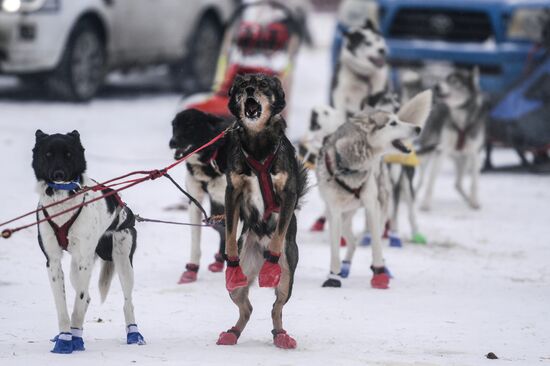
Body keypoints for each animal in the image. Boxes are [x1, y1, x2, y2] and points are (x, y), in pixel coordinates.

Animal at [32, 130, 144, 354]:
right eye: (48, 154)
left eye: (69, 154)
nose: (58, 174)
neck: (62, 205)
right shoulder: (53, 261)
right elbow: (63, 306)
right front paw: (65, 338)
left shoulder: (84, 259)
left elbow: (77, 305)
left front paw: (74, 339)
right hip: (76, 269)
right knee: (87, 297)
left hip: (122, 262)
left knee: (127, 302)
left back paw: (133, 334)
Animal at [169, 108, 232, 284]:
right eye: (174, 126)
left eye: (190, 126)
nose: (172, 142)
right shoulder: (194, 202)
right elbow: (195, 242)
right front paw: (191, 271)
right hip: (215, 213)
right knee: (222, 230)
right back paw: (219, 260)